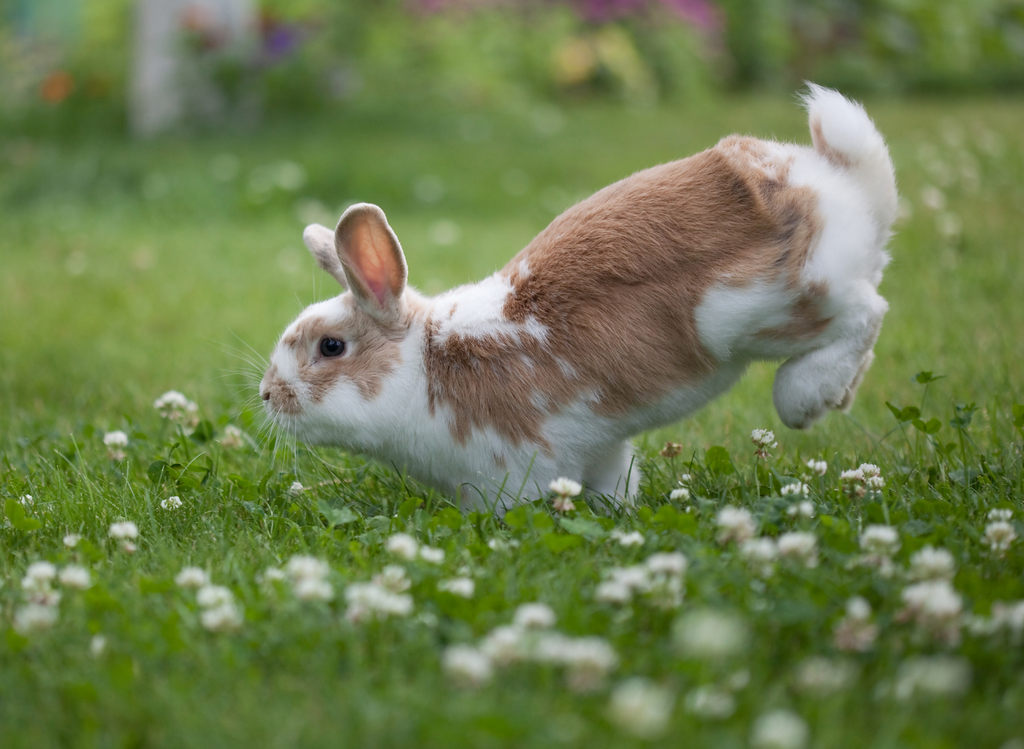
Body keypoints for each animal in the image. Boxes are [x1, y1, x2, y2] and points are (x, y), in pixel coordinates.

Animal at [262, 85, 897, 512]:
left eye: (331, 347)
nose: (268, 394)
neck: (426, 363)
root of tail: (841, 183)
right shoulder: (600, 450)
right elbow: (615, 482)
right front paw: (619, 514)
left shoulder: (511, 470)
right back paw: (837, 396)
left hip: (766, 310)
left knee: (866, 313)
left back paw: (805, 398)